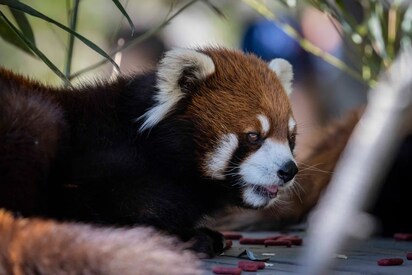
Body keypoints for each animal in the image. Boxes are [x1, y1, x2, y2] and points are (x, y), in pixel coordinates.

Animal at [0, 47, 298, 270]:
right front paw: (188, 235)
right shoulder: (101, 163)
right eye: (253, 136)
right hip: (32, 118)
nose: (289, 170)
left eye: (290, 137)